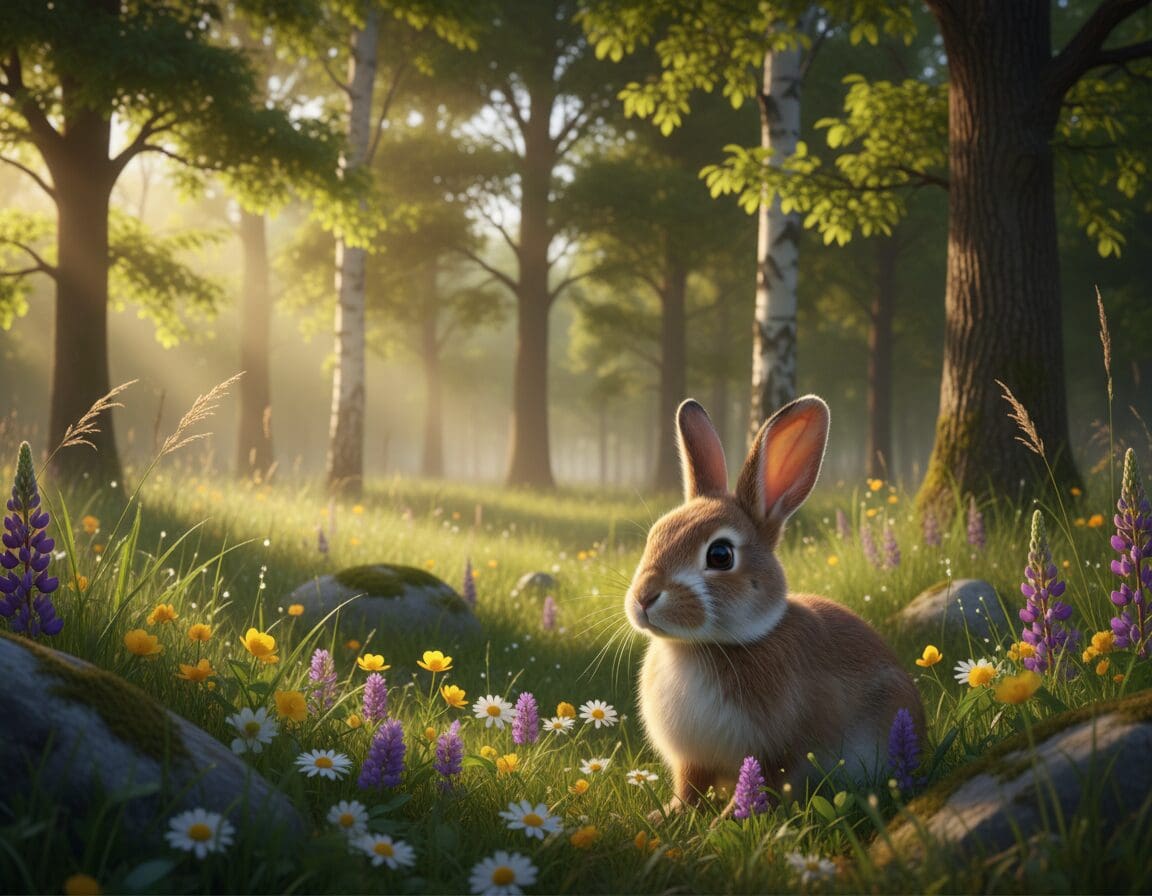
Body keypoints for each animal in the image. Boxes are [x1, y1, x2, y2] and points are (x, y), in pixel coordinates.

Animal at [625, 395, 925, 817]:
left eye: (720, 555)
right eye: (655, 536)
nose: (644, 598)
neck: (705, 646)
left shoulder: (776, 753)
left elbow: (758, 785)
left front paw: (726, 822)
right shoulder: (692, 760)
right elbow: (688, 789)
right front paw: (666, 815)